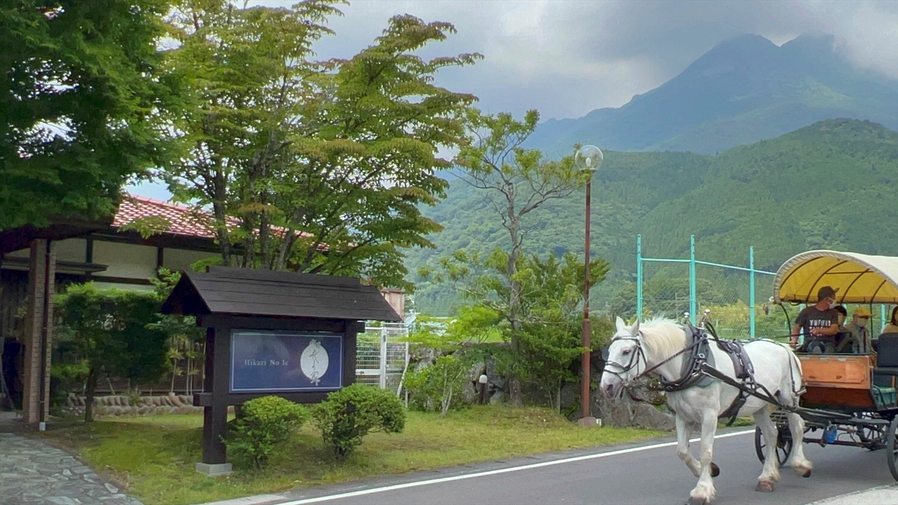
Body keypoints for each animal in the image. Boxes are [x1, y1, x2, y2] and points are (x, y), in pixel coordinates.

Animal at [596, 316, 812, 502]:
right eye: (609, 350)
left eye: (626, 351)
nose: (606, 386)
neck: (693, 363)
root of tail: (785, 347)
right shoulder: (682, 416)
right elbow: (682, 451)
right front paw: (705, 470)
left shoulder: (709, 415)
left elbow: (706, 451)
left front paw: (702, 490)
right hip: (757, 404)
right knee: (771, 433)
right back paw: (767, 477)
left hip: (788, 398)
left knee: (797, 426)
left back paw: (800, 464)